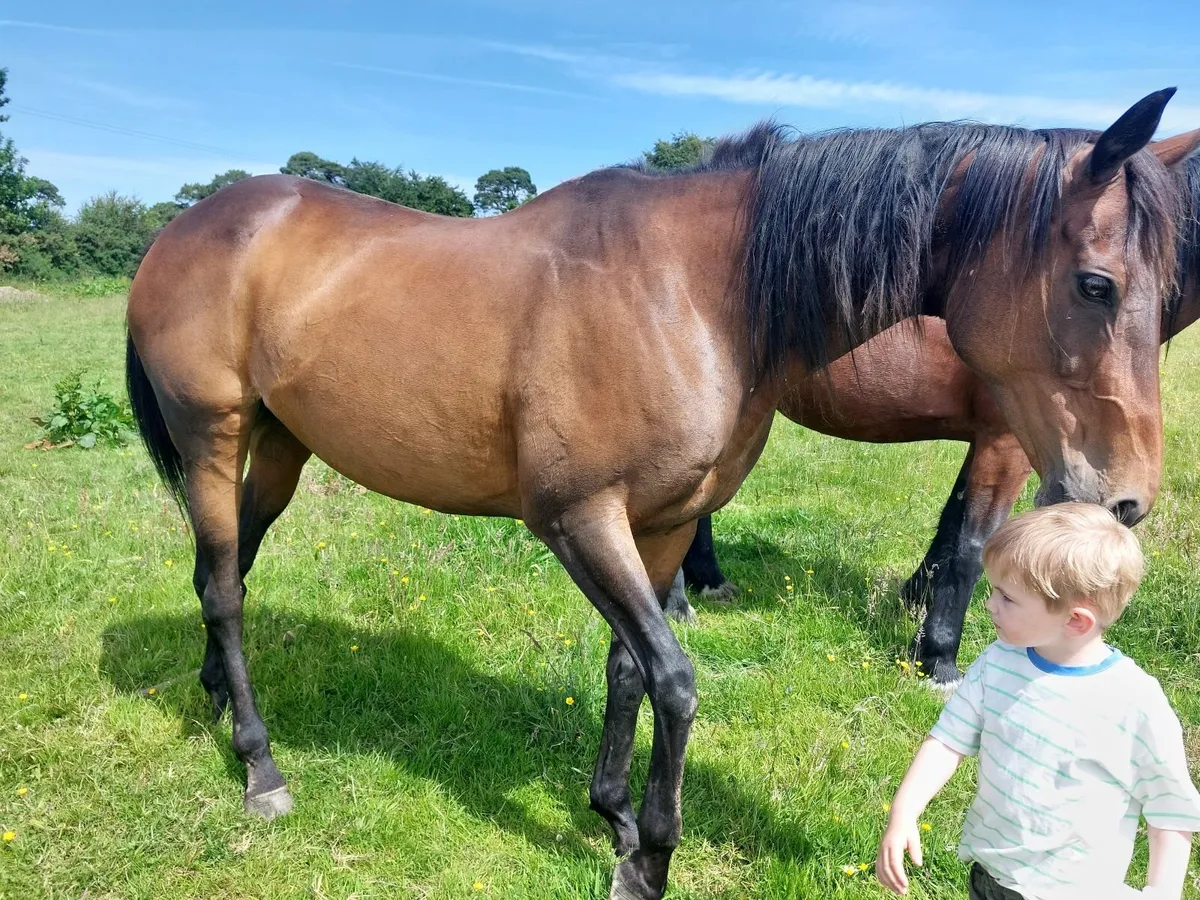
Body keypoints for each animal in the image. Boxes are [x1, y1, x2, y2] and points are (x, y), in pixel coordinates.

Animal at [672, 152, 1200, 688]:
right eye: (1096, 286)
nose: (1125, 504)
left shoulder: (989, 442)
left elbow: (951, 522)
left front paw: (915, 600)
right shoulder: (1008, 443)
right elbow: (972, 542)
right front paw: (938, 656)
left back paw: (707, 578)